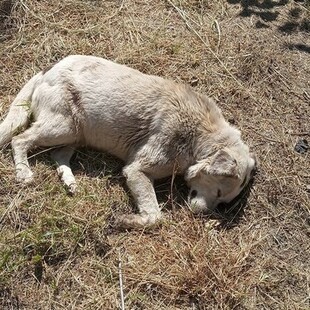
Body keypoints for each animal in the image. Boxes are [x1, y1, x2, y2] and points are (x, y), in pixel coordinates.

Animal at [0, 55, 256, 229]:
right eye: (219, 192)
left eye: (222, 203)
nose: (201, 215)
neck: (199, 136)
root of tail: (47, 70)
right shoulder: (136, 170)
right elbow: (155, 216)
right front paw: (125, 220)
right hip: (63, 127)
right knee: (19, 139)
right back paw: (24, 173)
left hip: (76, 132)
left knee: (58, 155)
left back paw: (69, 181)